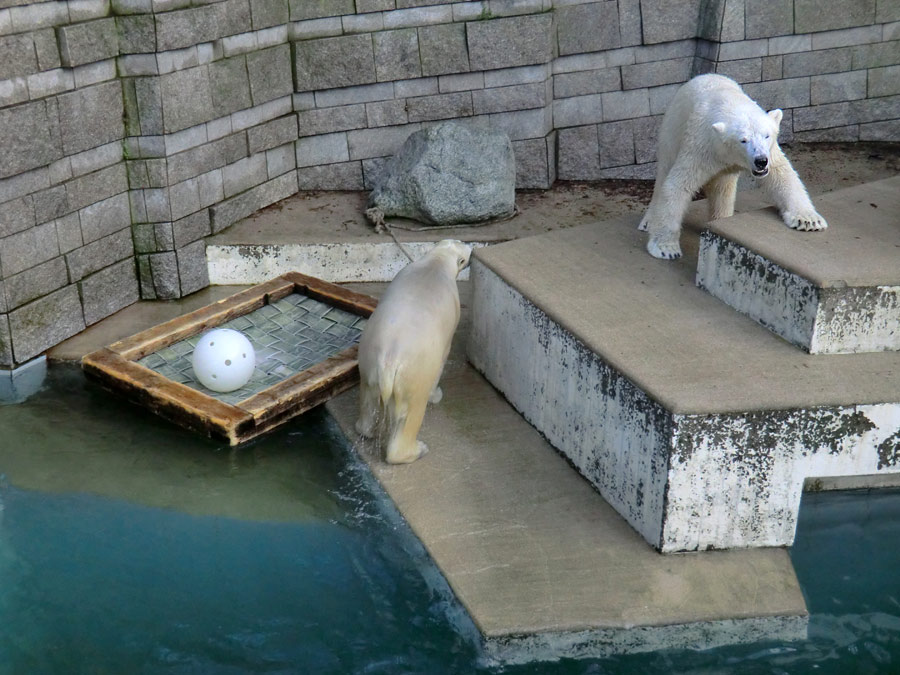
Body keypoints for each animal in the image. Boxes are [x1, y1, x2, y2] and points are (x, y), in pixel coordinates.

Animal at [354, 240, 472, 468]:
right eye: (464, 252)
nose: (472, 248)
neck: (436, 262)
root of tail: (389, 362)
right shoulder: (452, 318)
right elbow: (443, 358)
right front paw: (437, 394)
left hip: (369, 359)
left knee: (369, 398)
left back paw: (365, 429)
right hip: (413, 374)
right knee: (411, 412)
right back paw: (417, 449)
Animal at [636, 74, 828, 258]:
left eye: (766, 135)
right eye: (743, 140)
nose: (760, 161)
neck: (730, 102)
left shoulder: (770, 152)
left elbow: (782, 175)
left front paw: (808, 221)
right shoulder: (702, 146)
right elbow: (677, 186)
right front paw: (666, 248)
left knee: (723, 189)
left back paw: (720, 218)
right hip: (672, 130)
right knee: (664, 172)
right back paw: (649, 221)